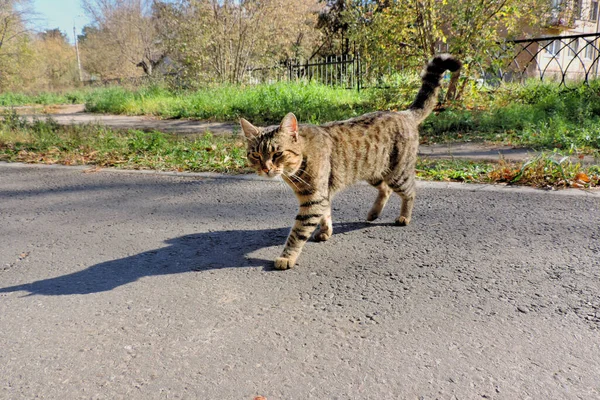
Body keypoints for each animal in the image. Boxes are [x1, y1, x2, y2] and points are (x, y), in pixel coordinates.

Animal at [239, 53, 460, 270]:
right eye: (256, 155)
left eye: (277, 154)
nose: (266, 168)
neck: (297, 168)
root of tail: (403, 113)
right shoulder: (322, 196)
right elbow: (326, 215)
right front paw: (325, 231)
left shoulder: (314, 198)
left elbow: (298, 232)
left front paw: (286, 257)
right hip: (373, 171)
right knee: (385, 190)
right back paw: (373, 213)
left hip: (398, 174)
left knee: (410, 192)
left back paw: (404, 216)